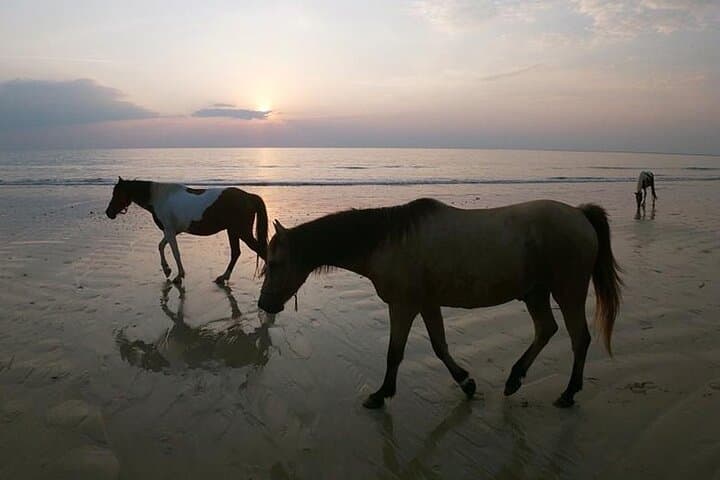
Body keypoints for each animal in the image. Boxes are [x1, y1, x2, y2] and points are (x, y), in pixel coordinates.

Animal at [105, 177, 268, 285]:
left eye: (117, 193)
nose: (108, 213)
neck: (159, 198)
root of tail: (248, 196)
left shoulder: (170, 231)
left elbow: (175, 252)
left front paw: (178, 275)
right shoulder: (171, 231)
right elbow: (161, 246)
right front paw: (167, 270)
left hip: (241, 232)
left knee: (260, 250)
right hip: (233, 231)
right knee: (236, 253)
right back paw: (223, 277)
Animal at [257, 198, 622, 409]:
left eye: (274, 263)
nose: (264, 304)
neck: (389, 240)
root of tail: (579, 215)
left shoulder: (403, 305)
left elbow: (395, 352)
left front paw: (380, 394)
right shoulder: (427, 304)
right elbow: (439, 346)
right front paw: (466, 382)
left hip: (568, 290)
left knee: (579, 338)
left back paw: (568, 392)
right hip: (536, 292)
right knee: (546, 329)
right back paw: (515, 379)